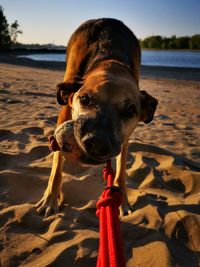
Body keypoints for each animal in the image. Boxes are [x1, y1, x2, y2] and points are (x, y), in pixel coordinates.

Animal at [36, 17, 158, 218]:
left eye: (130, 110)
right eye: (85, 99)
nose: (98, 144)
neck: (110, 63)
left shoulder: (123, 140)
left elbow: (120, 172)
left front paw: (123, 201)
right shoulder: (64, 113)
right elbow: (56, 166)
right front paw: (50, 198)